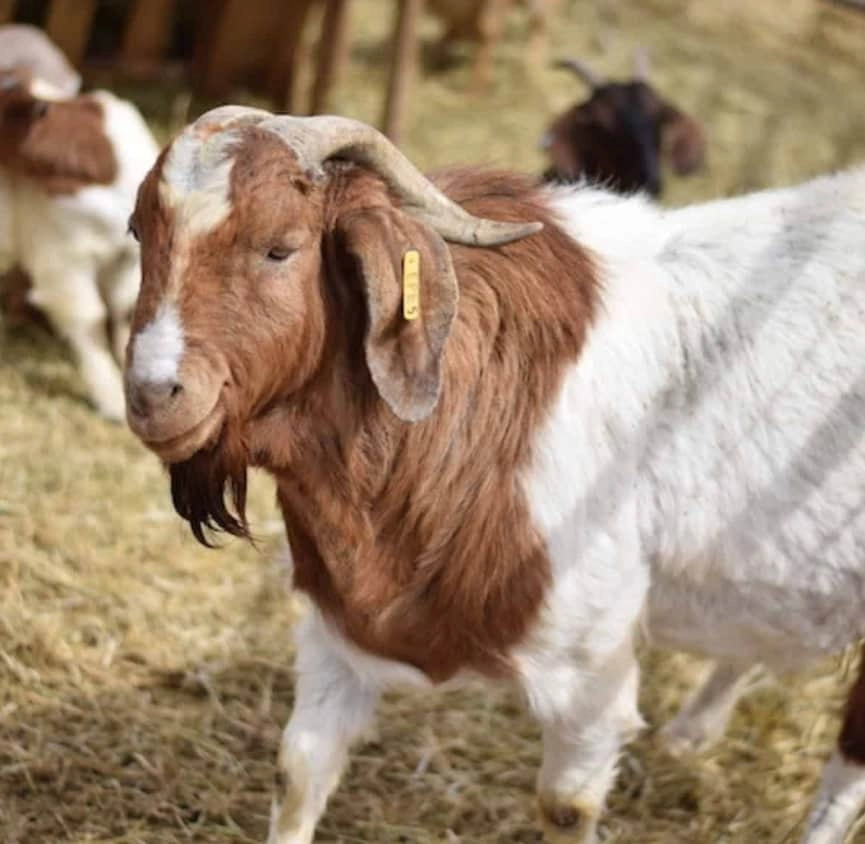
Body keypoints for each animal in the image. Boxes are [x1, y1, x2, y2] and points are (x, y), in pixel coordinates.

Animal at [124, 106, 865, 844]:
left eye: (280, 247)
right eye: (139, 233)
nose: (153, 393)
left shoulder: (590, 673)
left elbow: (566, 807)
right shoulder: (338, 631)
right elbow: (299, 771)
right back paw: (692, 731)